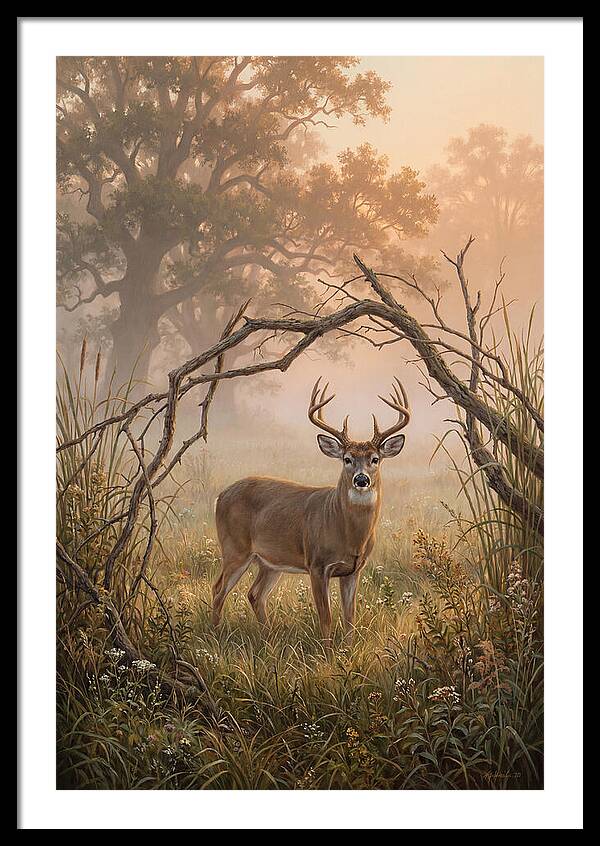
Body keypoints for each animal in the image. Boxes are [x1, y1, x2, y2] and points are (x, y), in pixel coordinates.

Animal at [212, 377, 410, 653]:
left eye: (375, 458)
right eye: (347, 459)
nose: (361, 480)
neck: (348, 533)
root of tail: (221, 496)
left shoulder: (354, 569)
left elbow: (350, 618)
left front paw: (348, 651)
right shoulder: (317, 564)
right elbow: (325, 617)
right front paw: (328, 655)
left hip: (269, 561)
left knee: (255, 594)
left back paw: (269, 641)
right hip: (235, 549)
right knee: (218, 589)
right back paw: (214, 637)